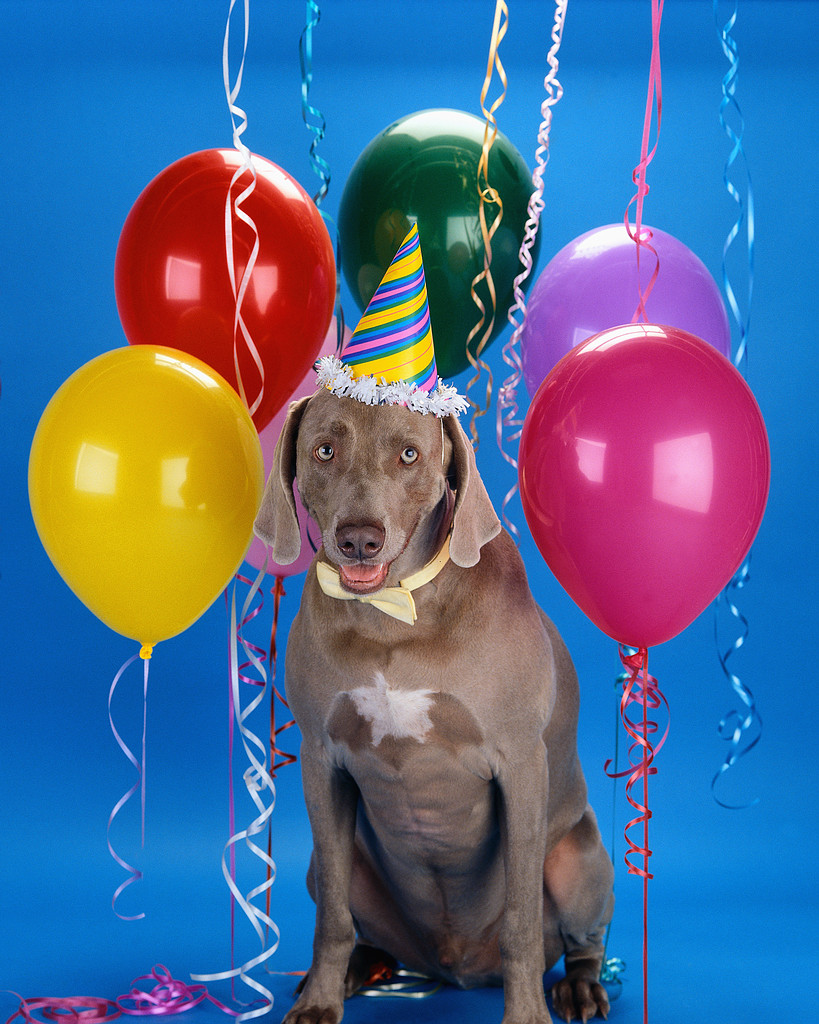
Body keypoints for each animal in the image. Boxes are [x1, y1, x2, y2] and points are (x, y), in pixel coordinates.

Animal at [255, 387, 614, 1019]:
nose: (359, 539)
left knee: (581, 939)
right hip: (334, 866)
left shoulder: (522, 763)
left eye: (408, 454)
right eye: (324, 450)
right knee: (362, 925)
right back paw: (357, 969)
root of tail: (456, 969)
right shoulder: (321, 760)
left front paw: (527, 1014)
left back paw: (579, 987)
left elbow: (521, 919)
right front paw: (319, 1001)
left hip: (582, 859)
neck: (394, 617)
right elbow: (333, 919)